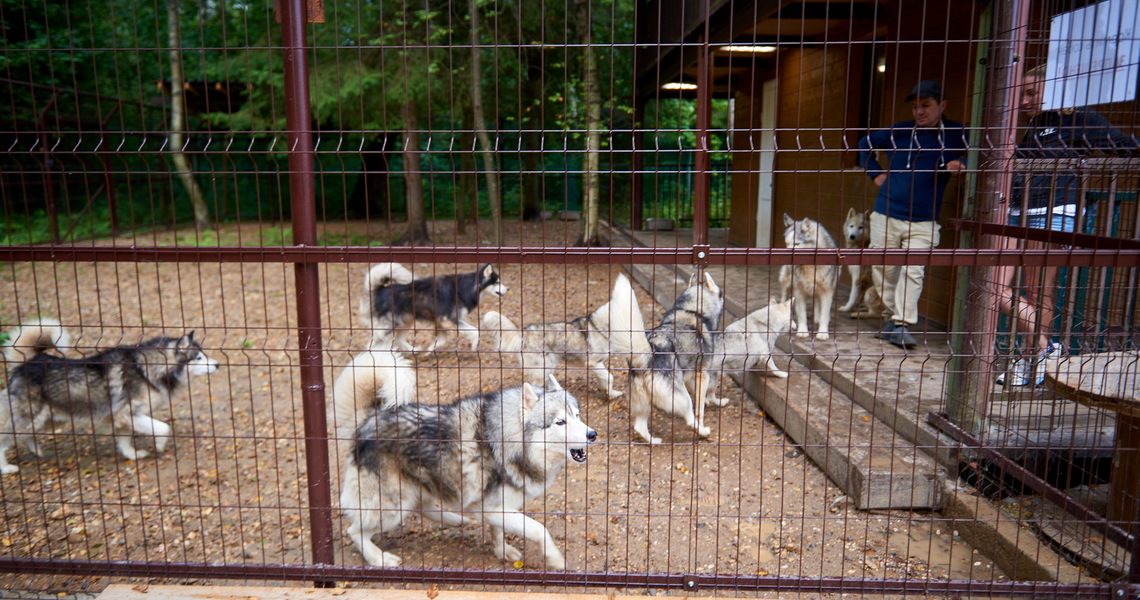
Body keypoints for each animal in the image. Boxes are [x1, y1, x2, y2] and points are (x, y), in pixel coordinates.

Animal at [0, 320, 219, 474]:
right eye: (199, 357)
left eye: (204, 355)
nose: (217, 364)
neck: (145, 369)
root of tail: (27, 363)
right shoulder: (130, 414)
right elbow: (163, 428)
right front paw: (159, 445)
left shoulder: (122, 417)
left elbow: (124, 441)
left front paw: (132, 455)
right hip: (29, 419)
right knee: (5, 440)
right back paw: (7, 468)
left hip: (46, 420)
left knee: (28, 436)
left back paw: (37, 451)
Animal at [338, 365, 596, 569]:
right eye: (560, 422)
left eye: (578, 415)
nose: (592, 434)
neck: (503, 440)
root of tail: (367, 421)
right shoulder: (492, 509)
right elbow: (538, 529)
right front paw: (556, 560)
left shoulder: (499, 508)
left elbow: (498, 532)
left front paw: (503, 551)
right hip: (393, 506)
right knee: (354, 531)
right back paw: (380, 559)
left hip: (413, 493)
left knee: (424, 507)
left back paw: (456, 520)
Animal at [362, 262, 508, 352]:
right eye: (497, 282)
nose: (508, 289)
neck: (467, 288)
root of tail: (380, 290)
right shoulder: (452, 319)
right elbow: (475, 331)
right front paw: (474, 346)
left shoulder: (440, 321)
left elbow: (442, 339)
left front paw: (431, 349)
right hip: (390, 326)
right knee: (372, 344)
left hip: (405, 322)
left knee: (399, 339)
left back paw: (415, 351)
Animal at [481, 273, 639, 399]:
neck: (599, 326)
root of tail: (524, 333)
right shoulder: (594, 362)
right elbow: (610, 377)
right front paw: (612, 395)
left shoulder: (598, 365)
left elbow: (605, 379)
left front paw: (609, 393)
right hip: (543, 370)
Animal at [609, 270, 724, 444]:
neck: (692, 309)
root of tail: (648, 352)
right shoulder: (702, 375)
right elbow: (700, 408)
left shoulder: (690, 375)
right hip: (680, 396)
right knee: (690, 418)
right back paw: (703, 432)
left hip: (644, 400)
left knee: (639, 427)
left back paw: (654, 441)